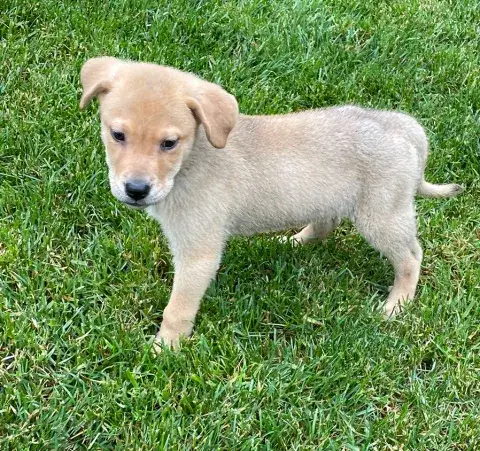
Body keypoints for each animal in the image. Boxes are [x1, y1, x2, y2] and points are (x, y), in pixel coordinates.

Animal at [80, 57, 463, 350]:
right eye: (117, 135)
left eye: (169, 143)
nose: (136, 189)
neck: (190, 162)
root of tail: (405, 128)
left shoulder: (199, 252)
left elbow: (179, 306)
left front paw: (166, 347)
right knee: (324, 225)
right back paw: (292, 241)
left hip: (382, 215)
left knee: (411, 256)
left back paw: (398, 303)